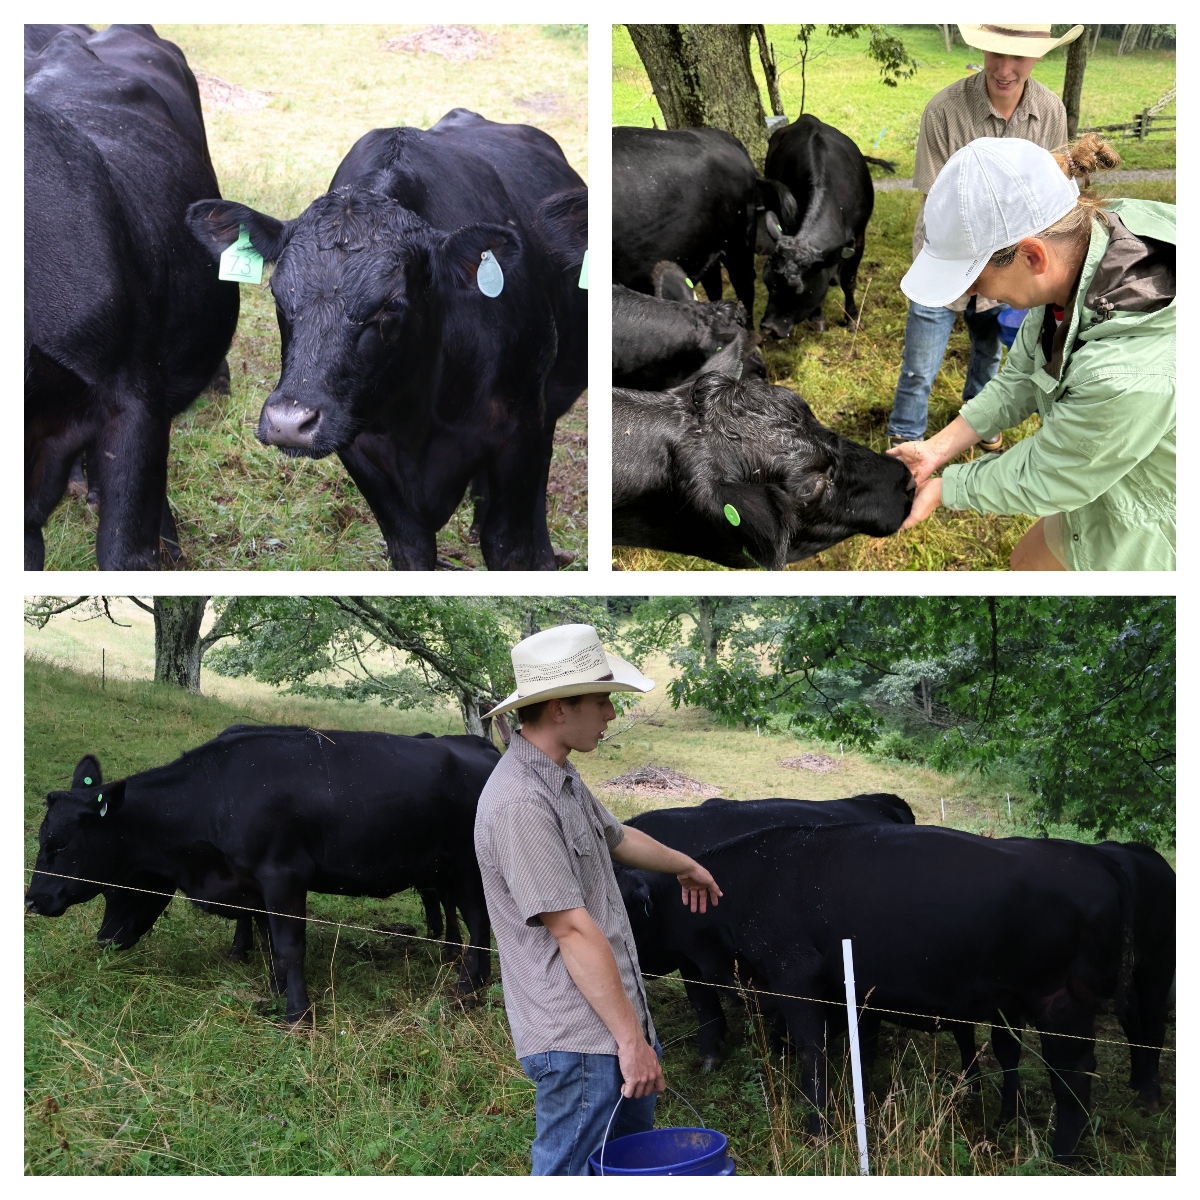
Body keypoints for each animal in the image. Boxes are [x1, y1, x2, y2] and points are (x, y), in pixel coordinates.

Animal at [25, 726, 501, 1024]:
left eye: (59, 844)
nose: (32, 900)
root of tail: (482, 746)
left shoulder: (284, 876)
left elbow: (290, 946)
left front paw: (298, 1014)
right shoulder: (254, 885)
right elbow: (270, 940)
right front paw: (275, 988)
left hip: (468, 867)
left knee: (479, 923)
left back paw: (469, 989)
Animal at [186, 109, 586, 571]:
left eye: (392, 304)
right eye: (277, 292)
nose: (290, 423)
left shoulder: (520, 432)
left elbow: (510, 545)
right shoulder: (360, 448)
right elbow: (411, 548)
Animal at [617, 823, 1131, 1162]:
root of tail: (1091, 859)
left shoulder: (795, 977)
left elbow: (814, 1052)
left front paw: (818, 1131)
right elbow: (850, 1047)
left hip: (1061, 1003)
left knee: (1073, 1073)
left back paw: (1063, 1154)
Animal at [758, 115, 880, 340]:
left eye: (798, 290)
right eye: (768, 281)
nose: (769, 328)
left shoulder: (859, 239)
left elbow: (849, 281)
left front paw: (852, 319)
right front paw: (816, 317)